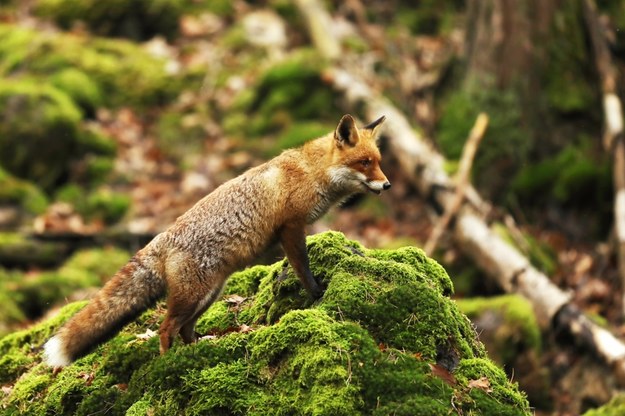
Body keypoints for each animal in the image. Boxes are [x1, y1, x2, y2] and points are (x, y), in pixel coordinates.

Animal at [42, 114, 390, 368]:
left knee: (184, 329)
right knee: (166, 329)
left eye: (378, 160)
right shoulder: (290, 228)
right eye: (364, 163)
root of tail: (161, 239)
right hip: (193, 296)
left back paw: (199, 349)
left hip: (208, 294)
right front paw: (317, 294)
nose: (387, 185)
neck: (311, 171)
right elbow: (302, 268)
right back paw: (169, 364)